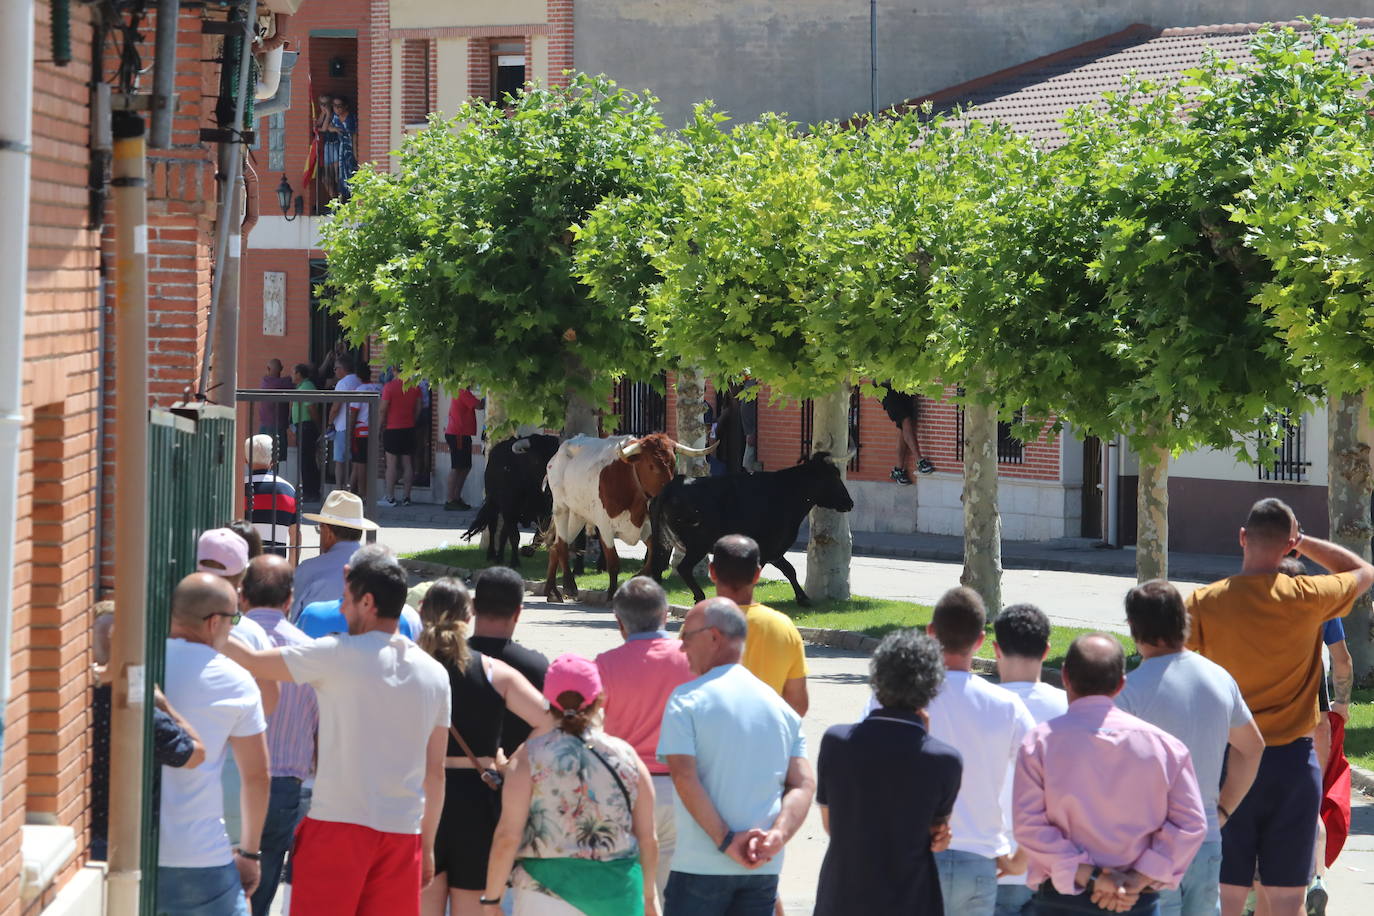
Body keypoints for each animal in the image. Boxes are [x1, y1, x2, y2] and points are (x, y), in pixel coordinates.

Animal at [464, 436, 560, 568]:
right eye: (536, 460)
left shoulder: (546, 513)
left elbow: (540, 534)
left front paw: (527, 551)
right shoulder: (509, 509)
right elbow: (515, 537)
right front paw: (515, 562)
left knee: (503, 533)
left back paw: (500, 557)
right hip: (493, 504)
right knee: (493, 528)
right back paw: (491, 554)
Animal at [538, 431, 708, 601]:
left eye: (672, 464)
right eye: (652, 465)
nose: (670, 493)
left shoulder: (645, 526)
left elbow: (654, 554)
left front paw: (636, 578)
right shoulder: (605, 527)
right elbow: (613, 562)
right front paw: (611, 594)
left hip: (577, 515)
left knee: (555, 547)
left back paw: (551, 591)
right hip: (561, 508)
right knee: (562, 545)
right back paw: (569, 586)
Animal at [645, 453, 857, 609]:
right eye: (834, 477)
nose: (850, 502)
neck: (788, 493)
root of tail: (675, 484)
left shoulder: (775, 548)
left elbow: (789, 569)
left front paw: (803, 598)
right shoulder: (767, 547)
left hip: (664, 543)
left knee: (658, 568)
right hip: (698, 544)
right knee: (683, 568)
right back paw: (700, 596)